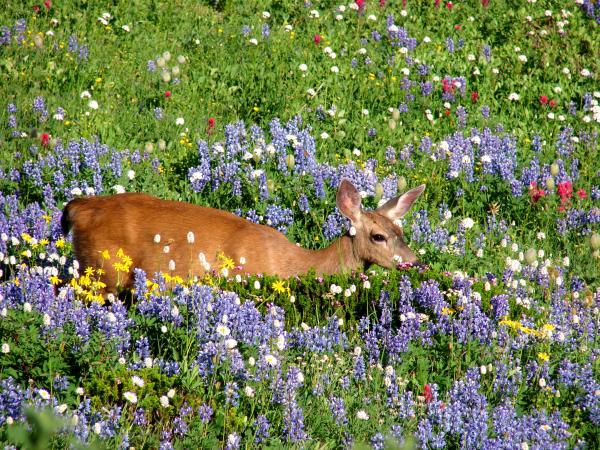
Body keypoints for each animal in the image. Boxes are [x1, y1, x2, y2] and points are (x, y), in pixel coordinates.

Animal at [61, 179, 424, 292]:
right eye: (378, 236)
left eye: (401, 231)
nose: (415, 262)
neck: (295, 263)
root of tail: (79, 208)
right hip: (103, 270)